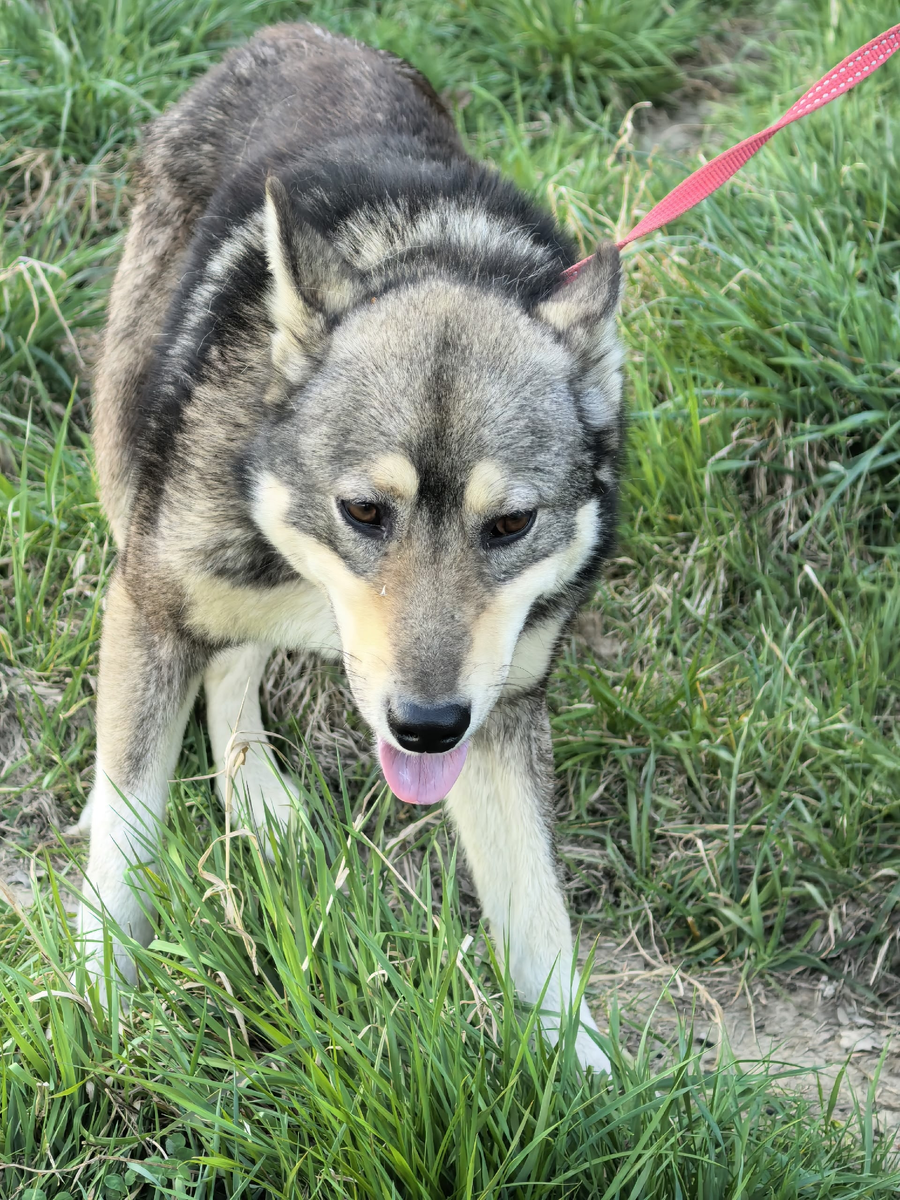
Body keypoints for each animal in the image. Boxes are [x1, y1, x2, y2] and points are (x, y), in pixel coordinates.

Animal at [76, 22, 624, 1072]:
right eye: (365, 511)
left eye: (511, 525)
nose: (427, 727)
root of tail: (293, 31)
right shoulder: (154, 603)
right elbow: (124, 843)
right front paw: (94, 1010)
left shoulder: (504, 713)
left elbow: (538, 915)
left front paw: (583, 1078)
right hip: (127, 462)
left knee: (236, 663)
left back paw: (259, 799)